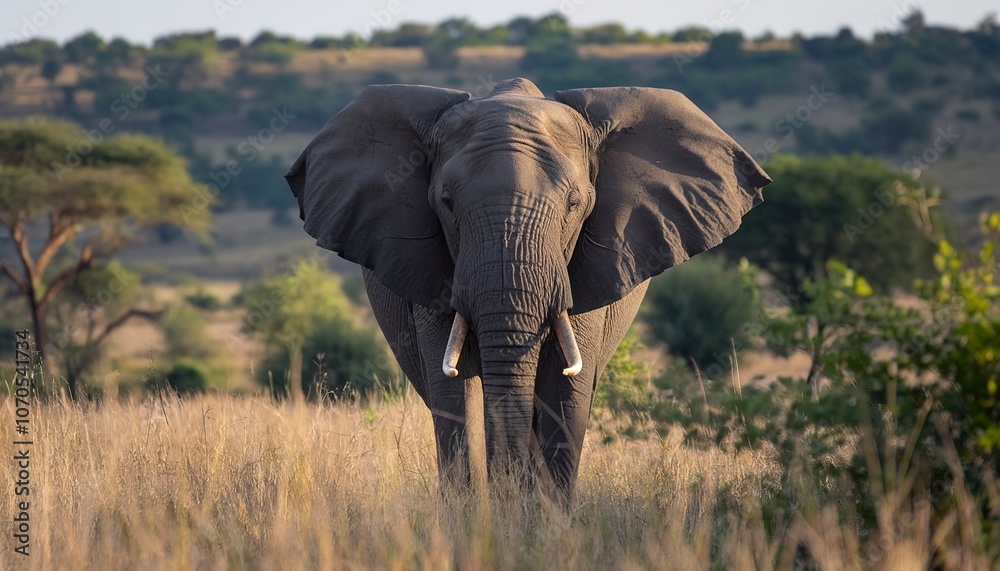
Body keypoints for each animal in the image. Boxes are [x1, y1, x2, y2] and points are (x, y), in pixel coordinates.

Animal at [285, 77, 771, 502]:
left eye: (575, 203)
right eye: (446, 203)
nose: (508, 495)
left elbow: (563, 392)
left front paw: (545, 527)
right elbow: (454, 394)